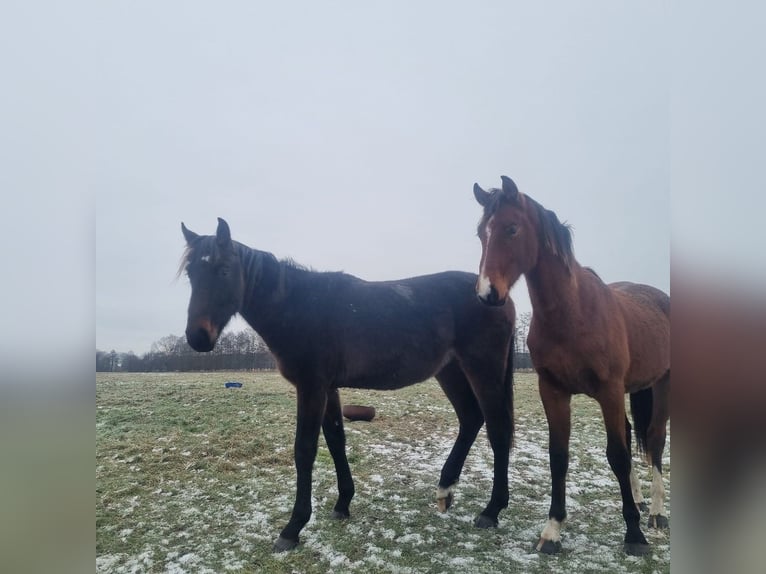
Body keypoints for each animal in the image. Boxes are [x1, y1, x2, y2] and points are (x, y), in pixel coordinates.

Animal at [178, 219, 516, 552]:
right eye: (191, 273)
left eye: (224, 270)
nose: (197, 337)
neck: (299, 306)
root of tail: (498, 297)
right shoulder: (328, 388)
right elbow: (336, 440)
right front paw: (342, 503)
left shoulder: (311, 387)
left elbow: (305, 450)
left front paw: (293, 528)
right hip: (451, 372)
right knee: (471, 419)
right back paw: (446, 490)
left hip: (483, 370)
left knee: (497, 431)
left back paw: (491, 510)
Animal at [474, 177, 672, 560]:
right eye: (480, 232)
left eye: (511, 228)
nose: (487, 294)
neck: (573, 312)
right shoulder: (553, 391)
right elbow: (559, 456)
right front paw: (552, 531)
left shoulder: (609, 390)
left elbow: (618, 455)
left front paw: (634, 535)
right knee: (633, 434)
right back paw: (640, 502)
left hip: (663, 385)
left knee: (655, 439)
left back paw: (656, 513)